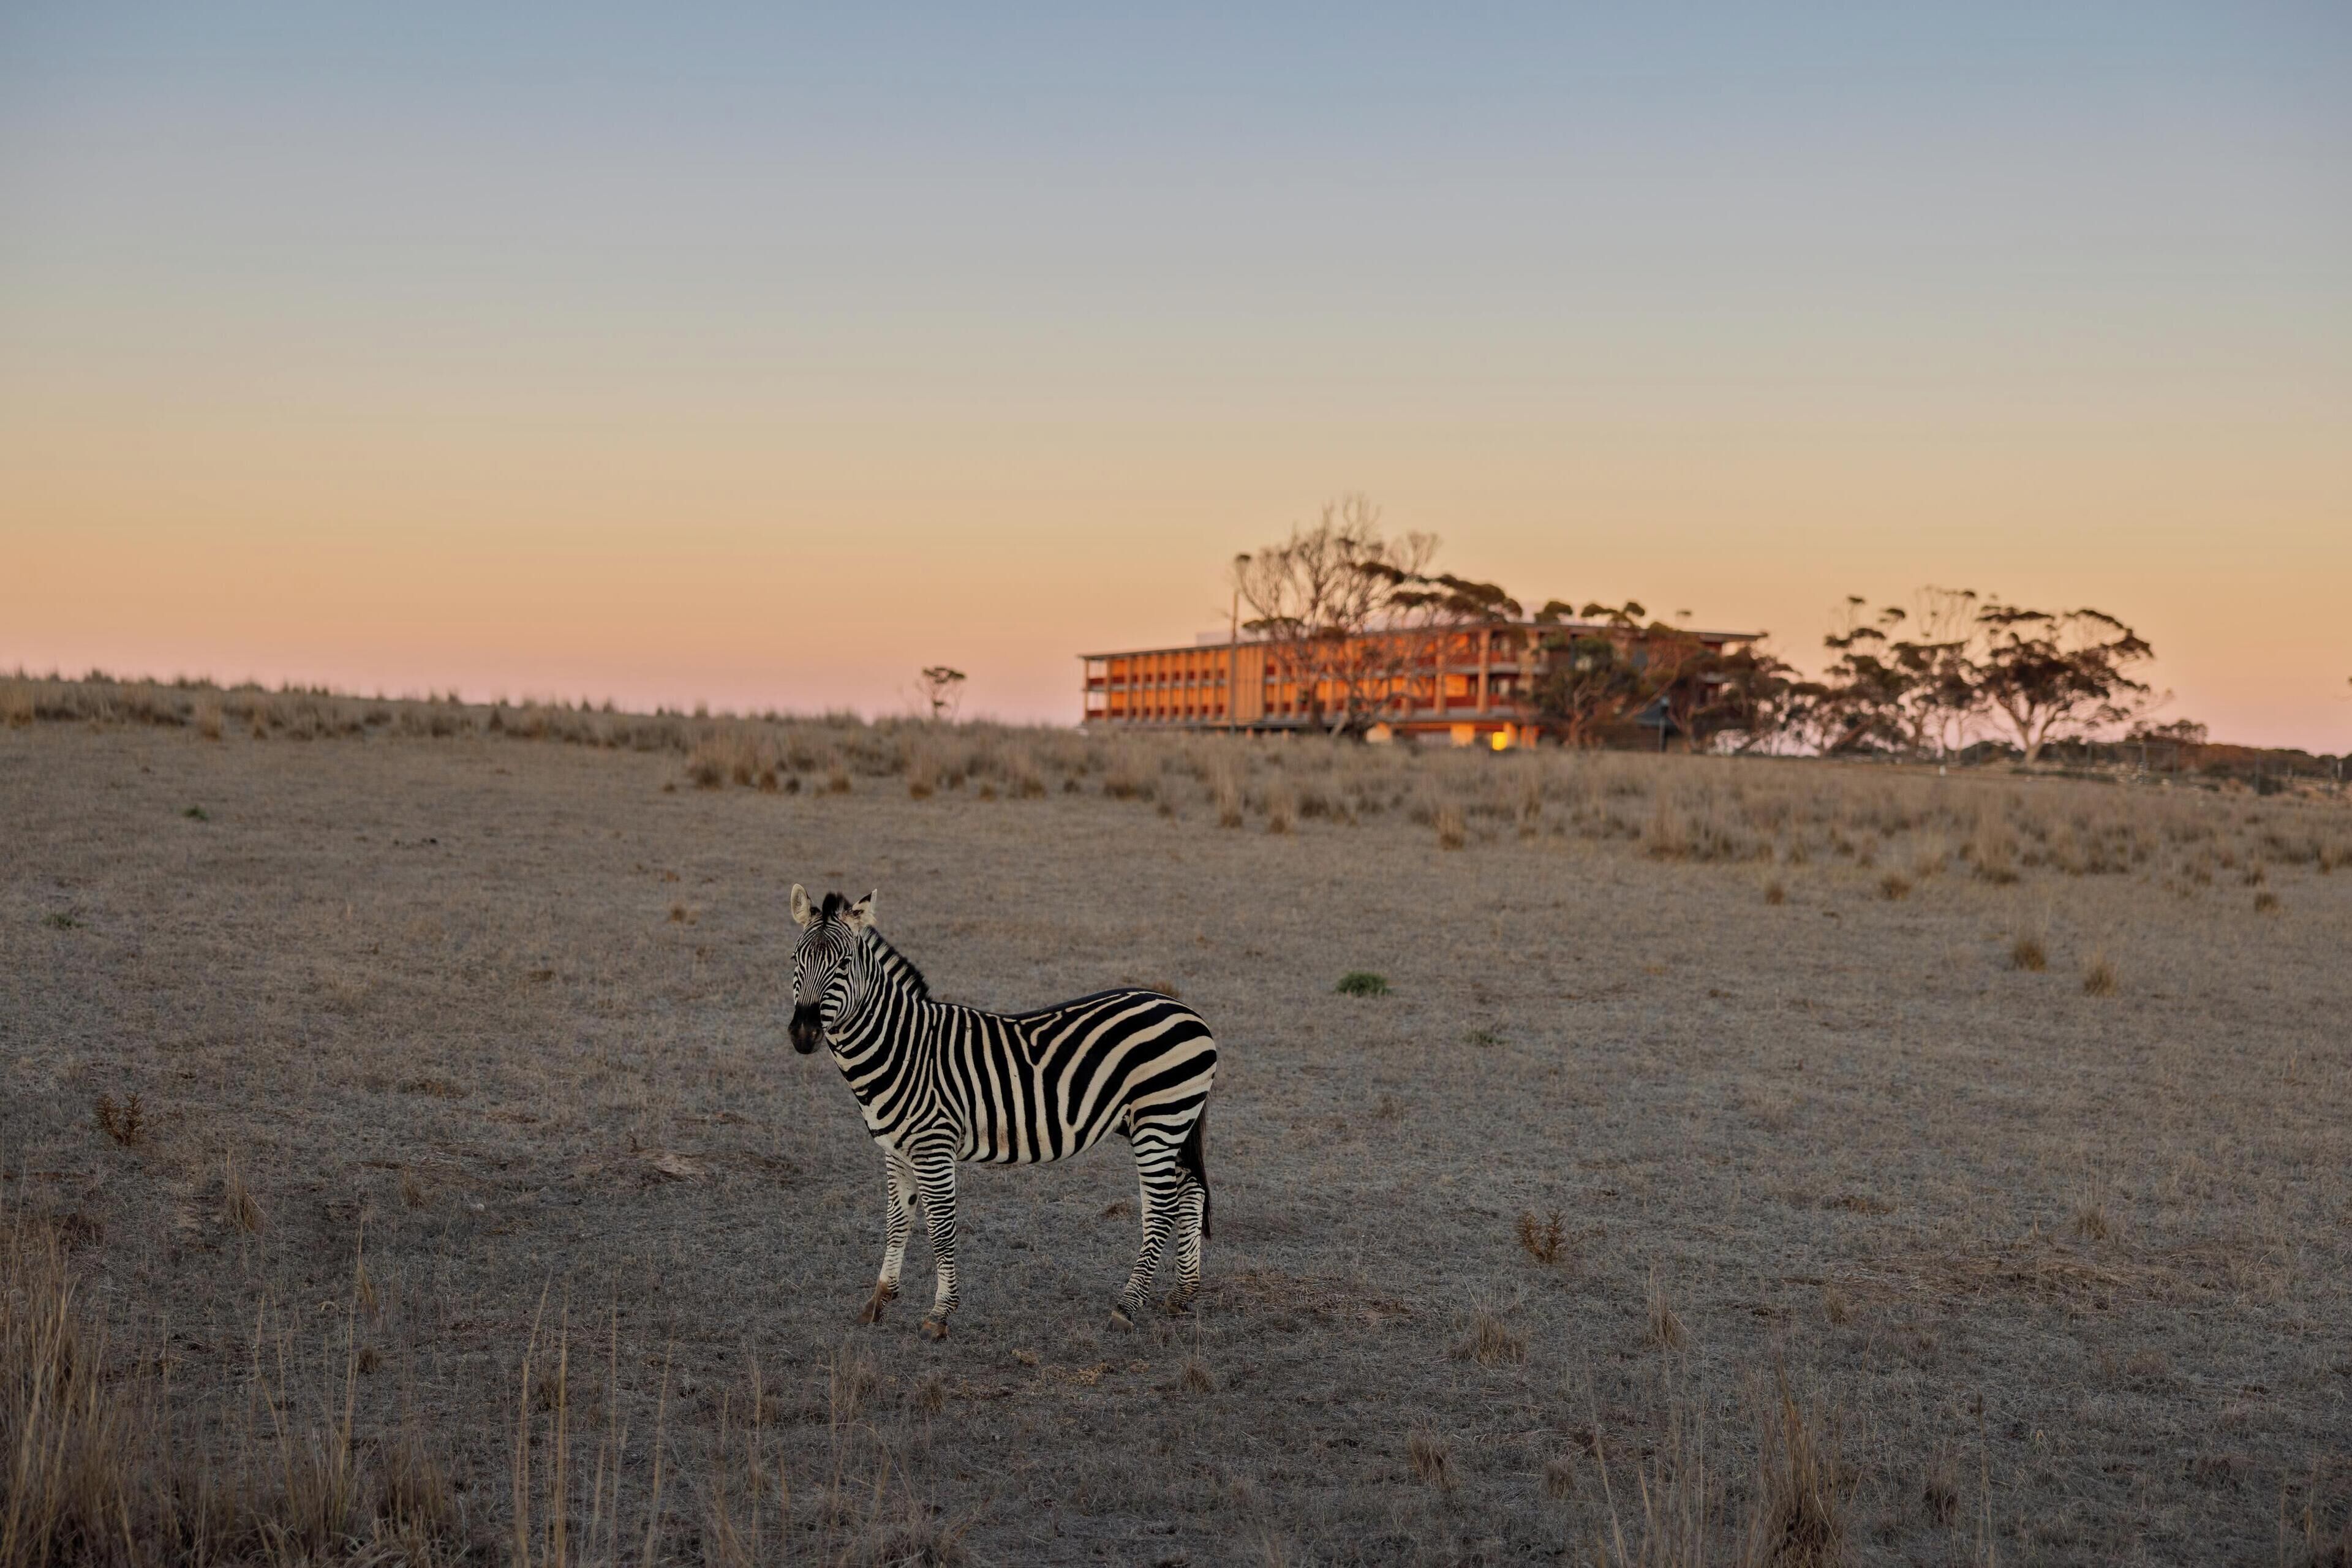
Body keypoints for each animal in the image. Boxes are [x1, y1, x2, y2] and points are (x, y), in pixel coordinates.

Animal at [787, 885, 1218, 1339]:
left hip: (1160, 1120)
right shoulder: (896, 1148)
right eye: (795, 959)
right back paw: (1182, 1294)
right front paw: (879, 1301)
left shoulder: (934, 1147)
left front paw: (940, 1314)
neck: (903, 1048)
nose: (803, 1034)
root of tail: (1186, 1010)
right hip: (1165, 1123)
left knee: (1162, 1208)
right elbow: (897, 1221)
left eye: (844, 964)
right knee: (1191, 1192)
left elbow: (941, 1228)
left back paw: (1127, 1306)